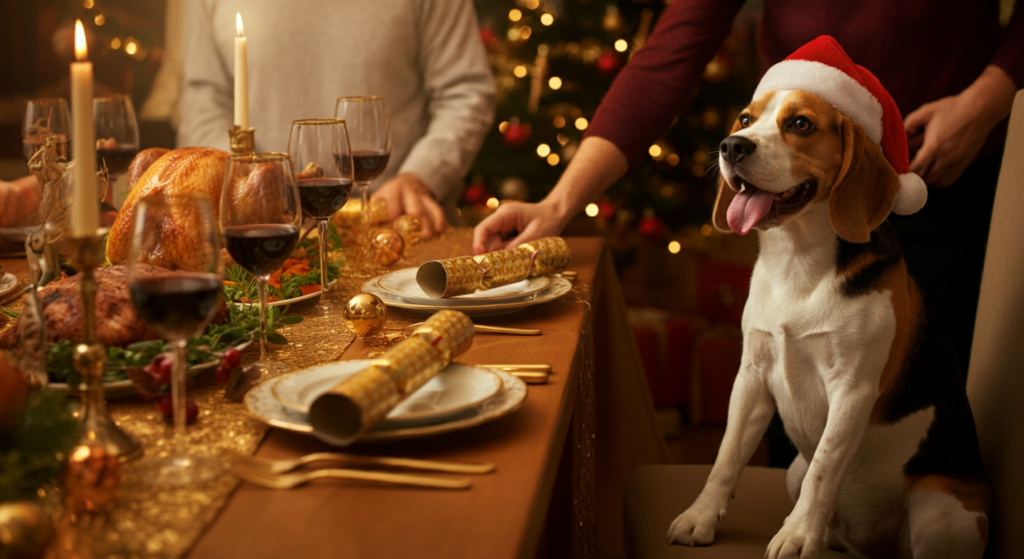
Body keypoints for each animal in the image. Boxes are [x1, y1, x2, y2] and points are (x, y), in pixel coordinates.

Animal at [667, 89, 987, 552]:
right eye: (745, 119)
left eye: (800, 124)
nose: (732, 146)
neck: (796, 261)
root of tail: (872, 545)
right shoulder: (752, 376)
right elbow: (726, 457)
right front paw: (700, 517)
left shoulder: (852, 389)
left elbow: (824, 465)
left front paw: (797, 536)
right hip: (793, 475)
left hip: (937, 512)